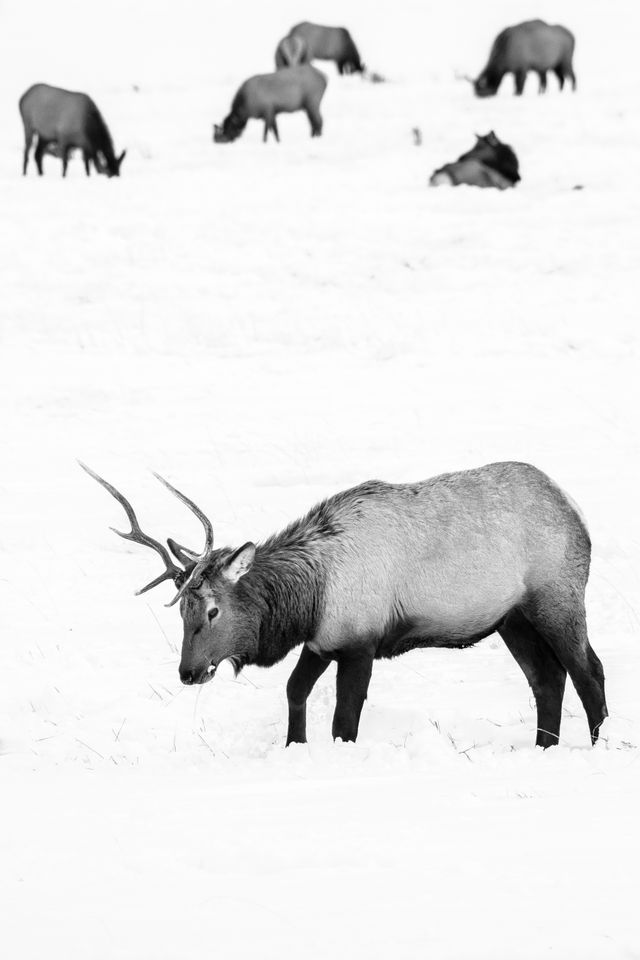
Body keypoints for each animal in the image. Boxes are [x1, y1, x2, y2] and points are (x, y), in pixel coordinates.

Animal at [82, 460, 608, 752]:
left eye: (212, 610)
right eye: (180, 611)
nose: (188, 672)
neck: (310, 596)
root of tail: (576, 511)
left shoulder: (362, 643)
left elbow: (344, 717)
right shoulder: (322, 641)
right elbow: (294, 691)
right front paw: (294, 745)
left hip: (557, 597)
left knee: (588, 670)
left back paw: (595, 746)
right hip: (511, 618)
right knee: (547, 678)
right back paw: (542, 748)